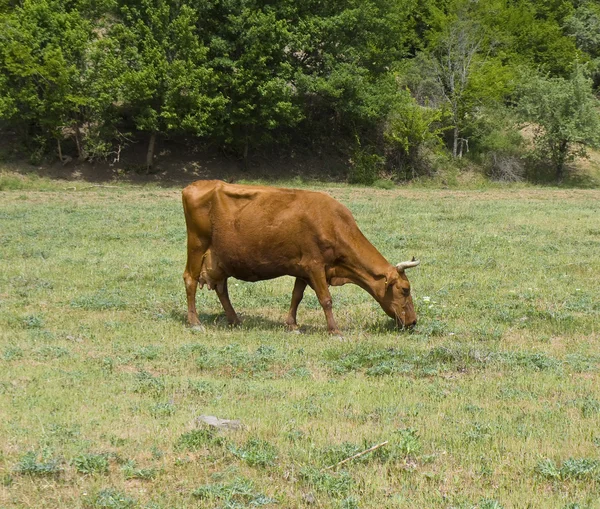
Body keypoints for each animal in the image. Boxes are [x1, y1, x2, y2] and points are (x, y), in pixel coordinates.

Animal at [180, 179, 420, 334]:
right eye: (405, 289)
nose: (413, 322)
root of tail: (195, 185)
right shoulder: (315, 266)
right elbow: (326, 300)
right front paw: (334, 330)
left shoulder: (303, 268)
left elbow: (297, 296)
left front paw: (292, 325)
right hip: (197, 245)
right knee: (190, 279)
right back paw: (195, 322)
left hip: (220, 259)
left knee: (222, 288)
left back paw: (235, 319)